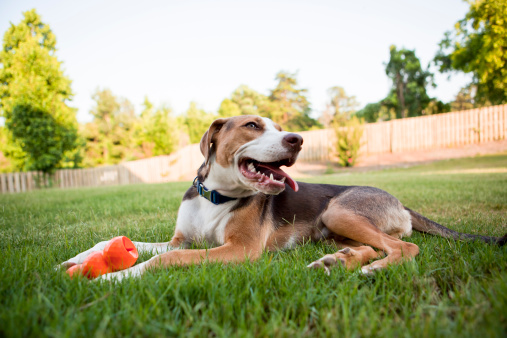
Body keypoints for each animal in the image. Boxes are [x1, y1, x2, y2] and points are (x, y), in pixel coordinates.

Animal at [60, 115, 507, 278]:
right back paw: (337, 261)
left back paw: (372, 269)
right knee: (376, 245)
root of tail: (399, 200)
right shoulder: (181, 239)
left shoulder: (237, 251)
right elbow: (125, 242)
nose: (298, 139)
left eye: (278, 127)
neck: (216, 197)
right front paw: (81, 258)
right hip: (334, 226)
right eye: (253, 125)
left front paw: (116, 276)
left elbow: (162, 260)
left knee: (404, 247)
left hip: (339, 210)